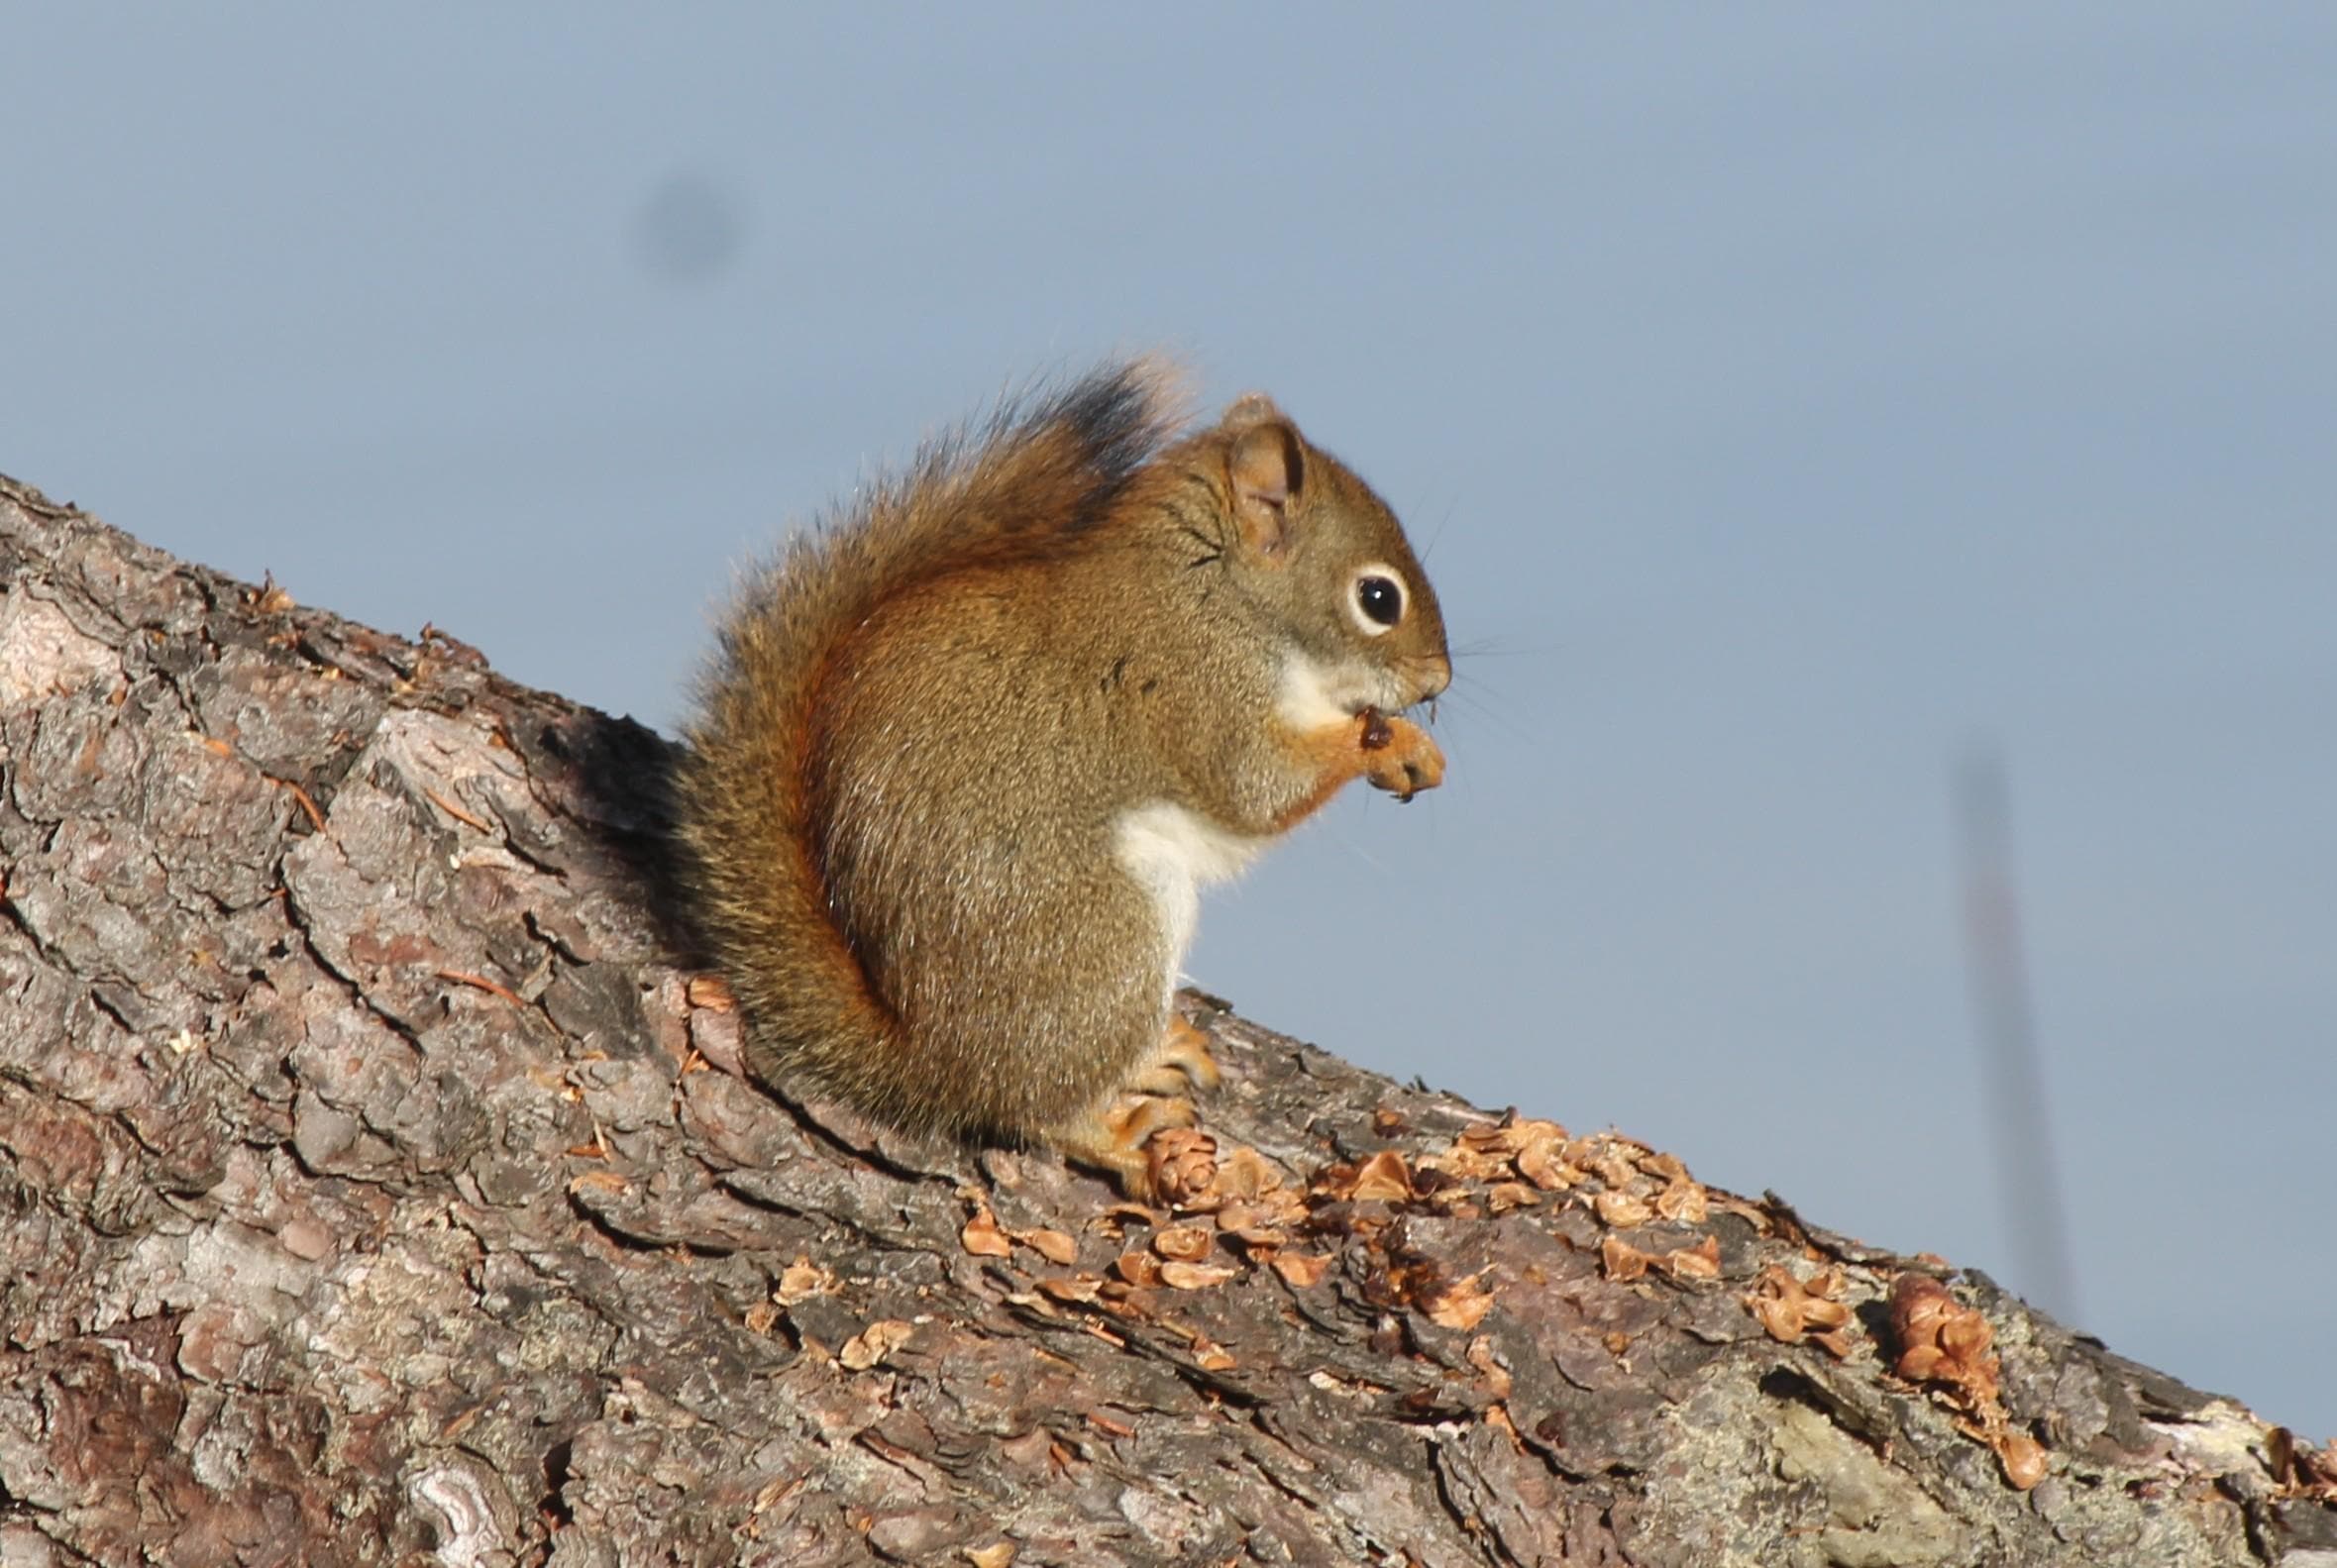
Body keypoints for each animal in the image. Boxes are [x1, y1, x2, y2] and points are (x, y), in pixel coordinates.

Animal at [673, 360, 1450, 1196]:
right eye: (1378, 597)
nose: (1437, 679)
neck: (1217, 590)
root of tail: (930, 1059)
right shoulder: (1198, 683)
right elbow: (1255, 784)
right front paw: (1392, 745)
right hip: (1110, 929)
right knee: (1033, 1103)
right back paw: (1115, 1133)